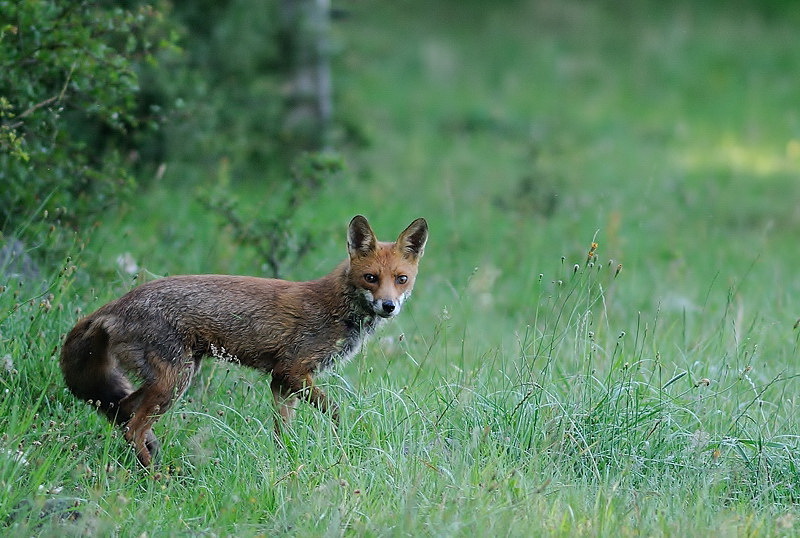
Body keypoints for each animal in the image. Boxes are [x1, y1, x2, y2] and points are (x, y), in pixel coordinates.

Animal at [60, 215, 428, 467]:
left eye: (401, 279)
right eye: (371, 278)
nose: (389, 306)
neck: (334, 307)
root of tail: (116, 304)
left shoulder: (281, 382)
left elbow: (282, 432)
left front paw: (284, 462)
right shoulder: (293, 371)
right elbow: (337, 411)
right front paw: (342, 441)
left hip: (169, 380)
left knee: (123, 411)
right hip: (173, 383)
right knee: (132, 428)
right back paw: (157, 477)